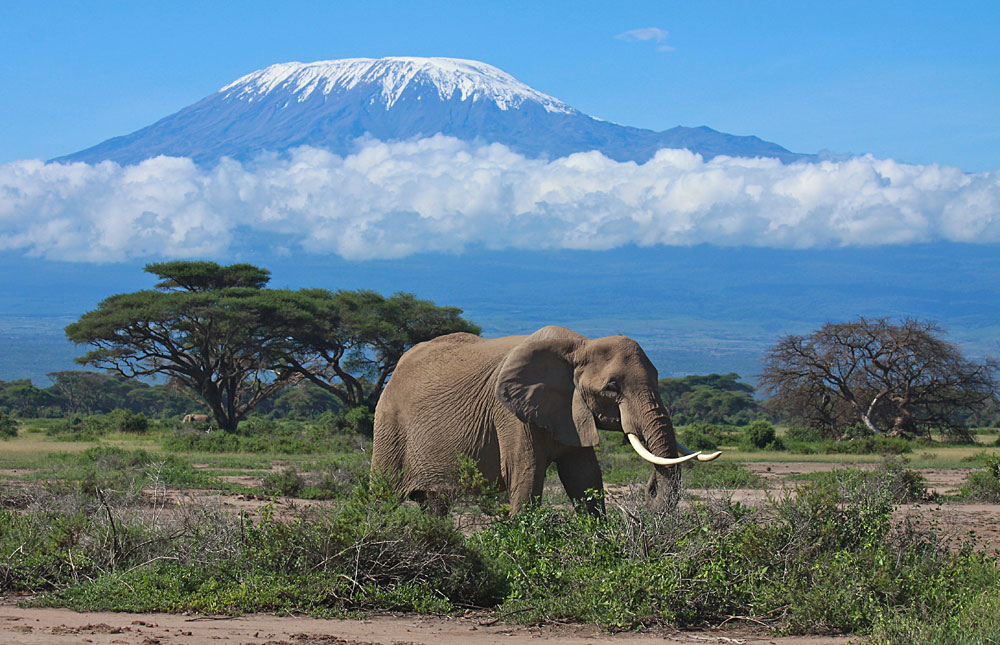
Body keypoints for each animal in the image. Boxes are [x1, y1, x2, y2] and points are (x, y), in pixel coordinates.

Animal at [371, 325, 720, 515]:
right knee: (382, 496)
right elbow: (526, 474)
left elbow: (585, 478)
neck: (579, 346)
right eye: (612, 387)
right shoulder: (509, 413)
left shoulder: (570, 410)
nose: (649, 490)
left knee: (435, 505)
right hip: (389, 425)